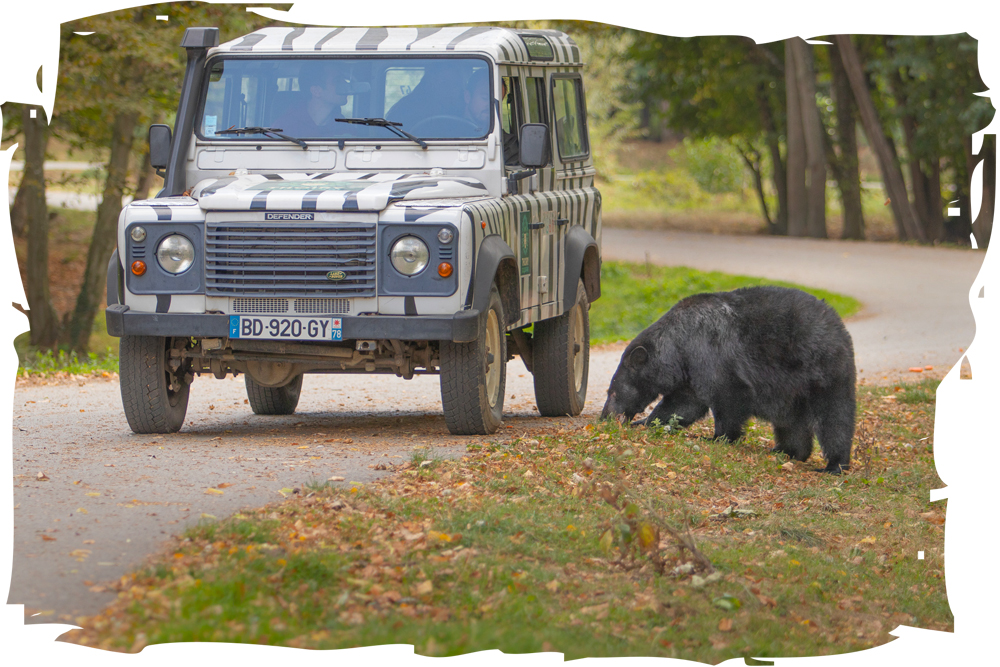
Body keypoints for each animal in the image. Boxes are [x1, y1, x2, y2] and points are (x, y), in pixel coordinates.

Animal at [596, 288, 856, 474]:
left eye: (613, 393)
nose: (605, 417)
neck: (677, 346)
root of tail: (839, 326)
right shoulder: (690, 371)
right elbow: (682, 404)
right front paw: (645, 422)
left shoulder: (709, 353)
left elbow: (728, 396)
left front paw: (717, 438)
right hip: (793, 388)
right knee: (791, 421)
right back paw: (787, 451)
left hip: (822, 368)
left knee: (835, 416)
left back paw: (834, 465)